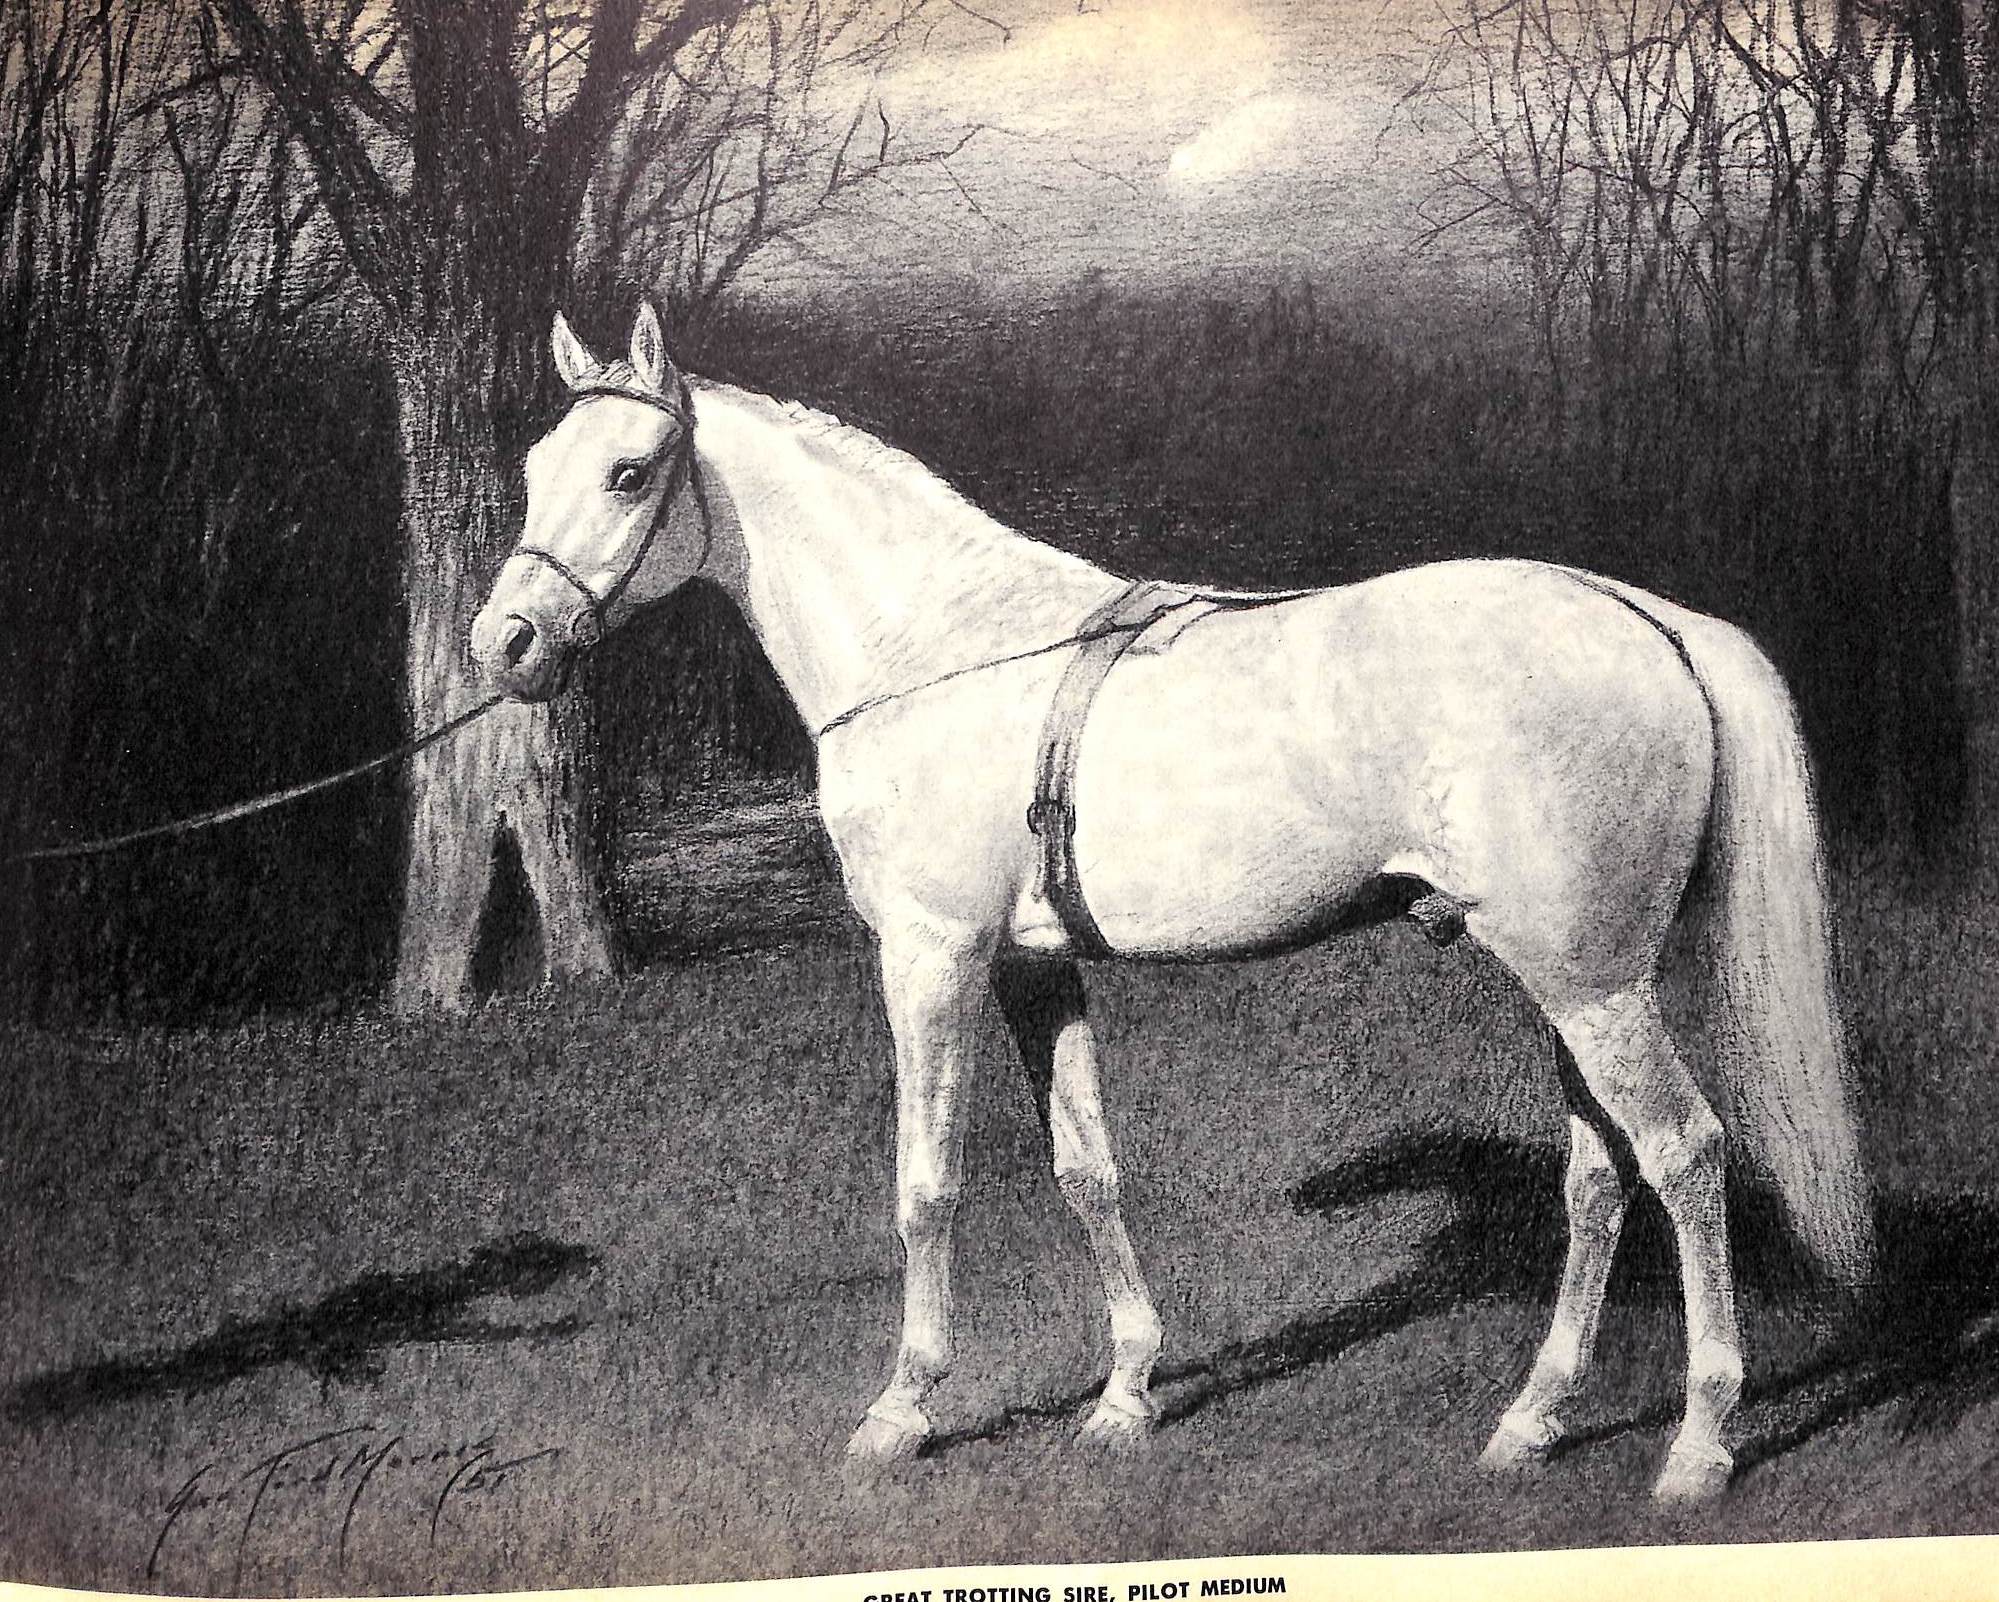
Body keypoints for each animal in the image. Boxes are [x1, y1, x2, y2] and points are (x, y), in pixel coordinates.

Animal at [467, 304, 1872, 1503]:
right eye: (539, 465)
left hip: (1589, 984)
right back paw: (1530, 1421)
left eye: (630, 473)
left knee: (1683, 1154)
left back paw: (1698, 1445)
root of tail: (1644, 616)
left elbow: (927, 1184)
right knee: (1600, 1176)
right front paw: (1128, 1393)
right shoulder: (1033, 966)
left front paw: (902, 1410)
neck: (941, 649)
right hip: (1568, 979)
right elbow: (1087, 1168)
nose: (506, 645)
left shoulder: (931, 956)